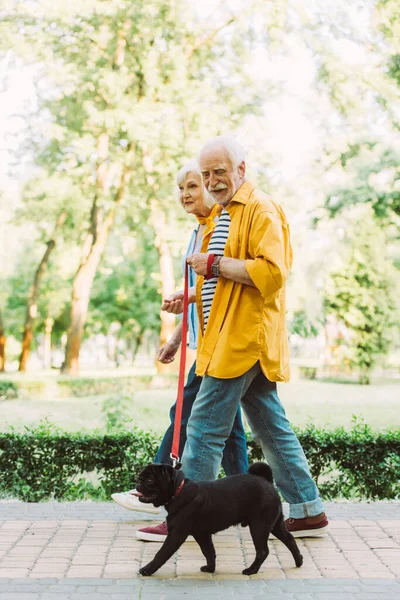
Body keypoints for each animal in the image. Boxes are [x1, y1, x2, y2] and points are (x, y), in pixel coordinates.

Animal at [134, 464, 304, 576]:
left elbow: (161, 553)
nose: (138, 483)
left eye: (149, 480)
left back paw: (252, 570)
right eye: (141, 478)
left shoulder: (176, 534)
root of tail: (267, 482)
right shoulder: (202, 534)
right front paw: (210, 568)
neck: (178, 491)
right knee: (290, 539)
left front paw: (147, 569)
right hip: (275, 524)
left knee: (263, 551)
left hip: (259, 526)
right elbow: (209, 551)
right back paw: (299, 561)